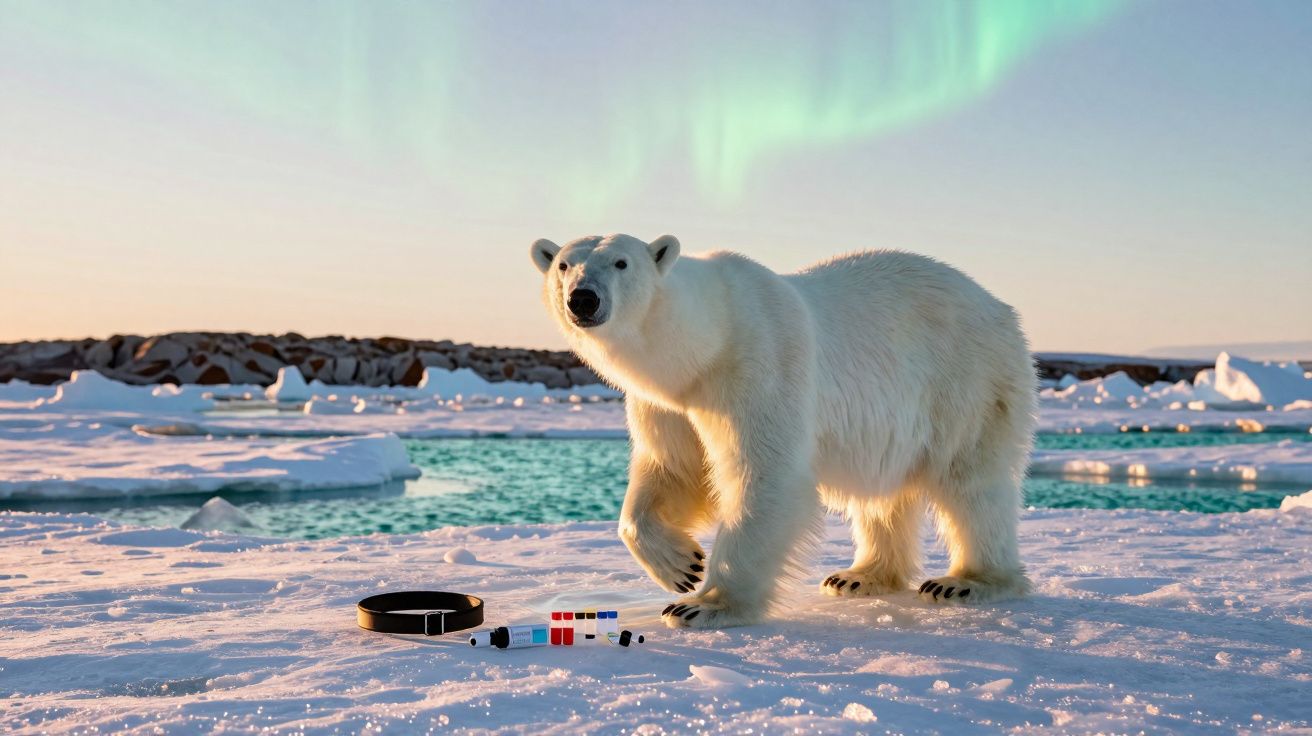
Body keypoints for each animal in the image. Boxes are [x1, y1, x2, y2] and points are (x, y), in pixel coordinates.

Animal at [531, 233, 1036, 629]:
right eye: (564, 265)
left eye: (621, 262)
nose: (583, 298)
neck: (707, 341)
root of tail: (1000, 308)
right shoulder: (668, 402)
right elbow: (672, 468)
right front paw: (680, 565)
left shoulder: (758, 365)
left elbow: (762, 475)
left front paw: (703, 605)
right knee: (881, 495)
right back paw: (859, 575)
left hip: (966, 379)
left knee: (970, 481)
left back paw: (967, 582)